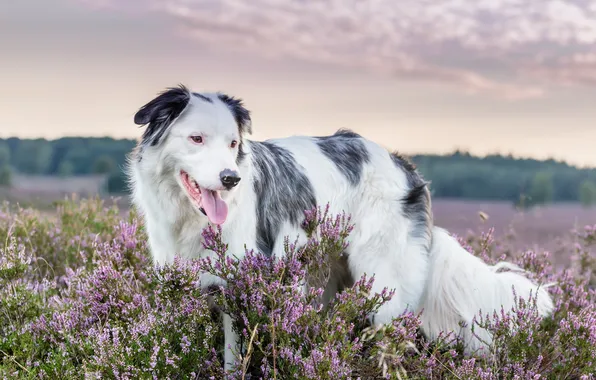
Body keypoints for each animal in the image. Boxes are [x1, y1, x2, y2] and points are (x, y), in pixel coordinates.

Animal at [125, 84, 556, 372]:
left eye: (233, 144)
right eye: (196, 139)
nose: (231, 179)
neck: (190, 219)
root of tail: (404, 165)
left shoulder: (243, 285)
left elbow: (236, 358)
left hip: (384, 283)